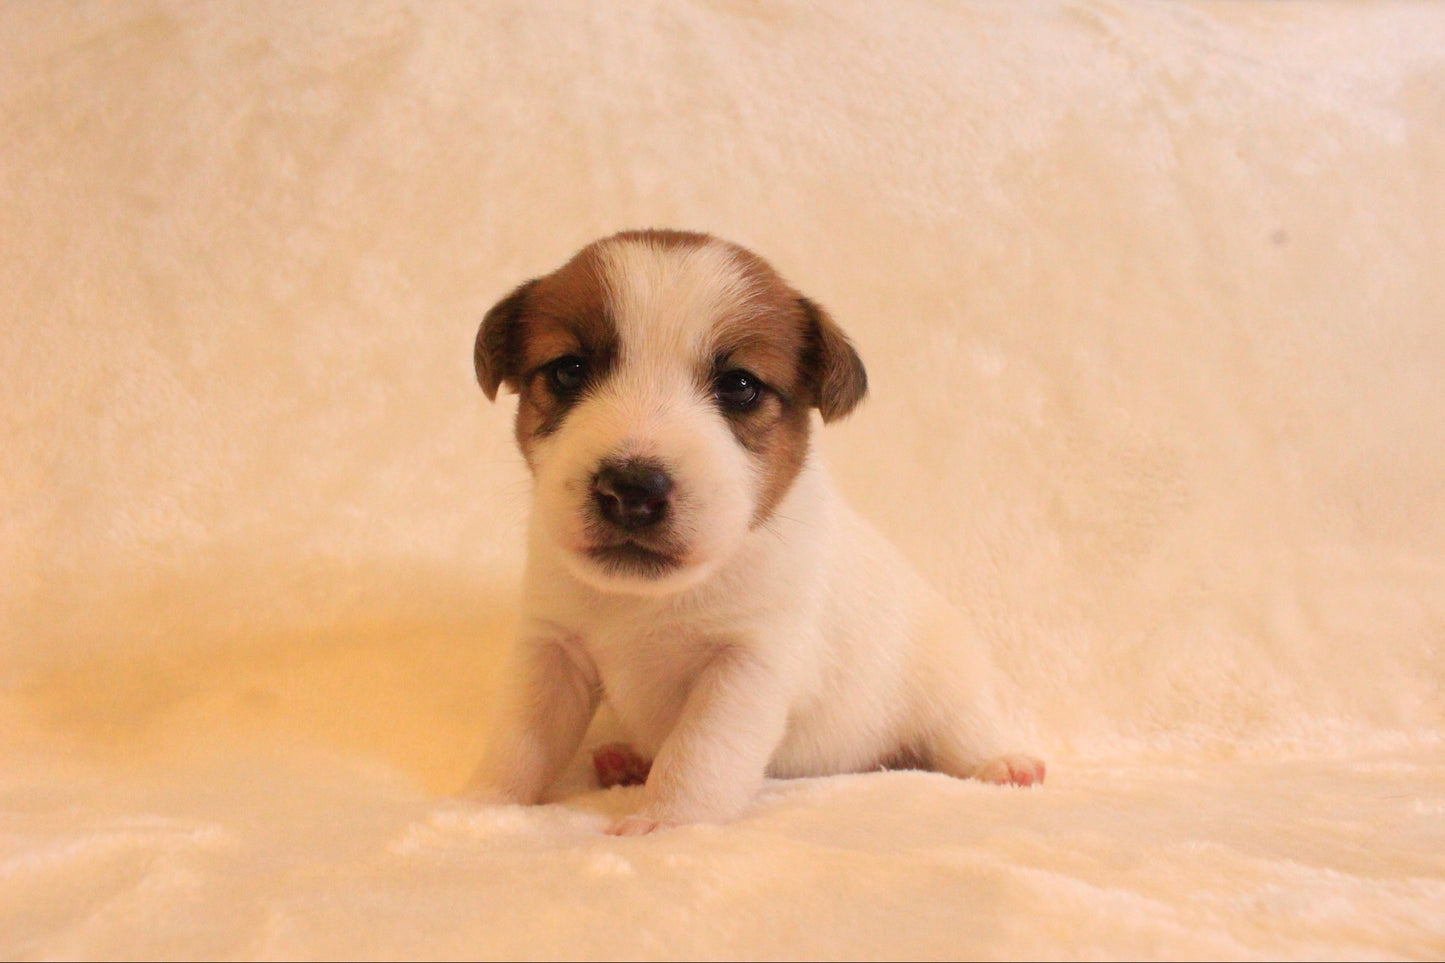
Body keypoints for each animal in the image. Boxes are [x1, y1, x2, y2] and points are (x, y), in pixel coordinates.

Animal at [468, 227, 1046, 832]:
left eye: (739, 386)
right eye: (568, 371)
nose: (631, 489)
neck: (648, 600)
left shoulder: (747, 664)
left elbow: (698, 752)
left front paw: (667, 823)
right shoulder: (551, 650)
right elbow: (521, 739)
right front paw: (485, 806)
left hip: (946, 687)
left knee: (964, 731)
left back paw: (1004, 764)